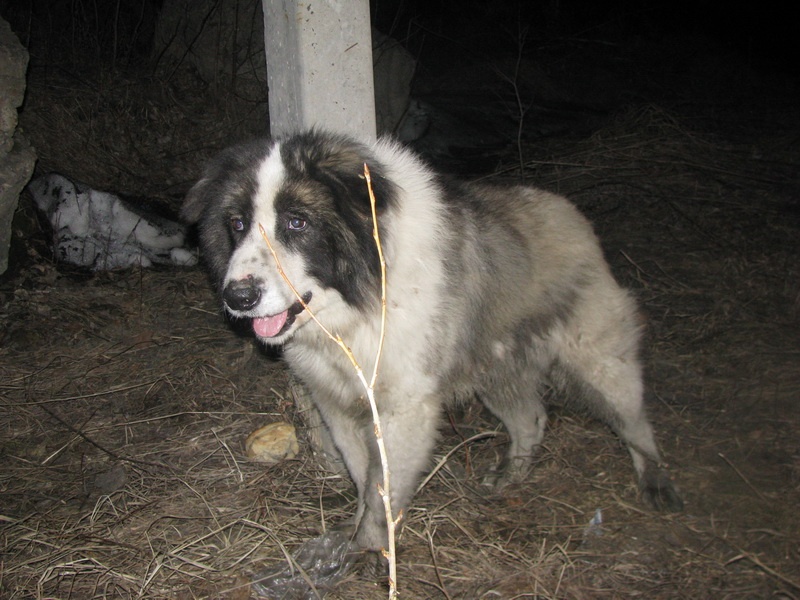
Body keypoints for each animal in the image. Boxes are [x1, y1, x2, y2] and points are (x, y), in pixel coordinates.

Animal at [183, 130, 680, 556]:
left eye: (297, 222)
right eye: (237, 223)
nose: (237, 297)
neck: (357, 304)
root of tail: (570, 214)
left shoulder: (404, 412)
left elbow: (382, 490)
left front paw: (369, 549)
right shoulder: (337, 405)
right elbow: (363, 478)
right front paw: (354, 536)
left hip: (601, 364)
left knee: (636, 424)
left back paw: (656, 482)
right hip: (498, 373)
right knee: (531, 420)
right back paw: (511, 475)